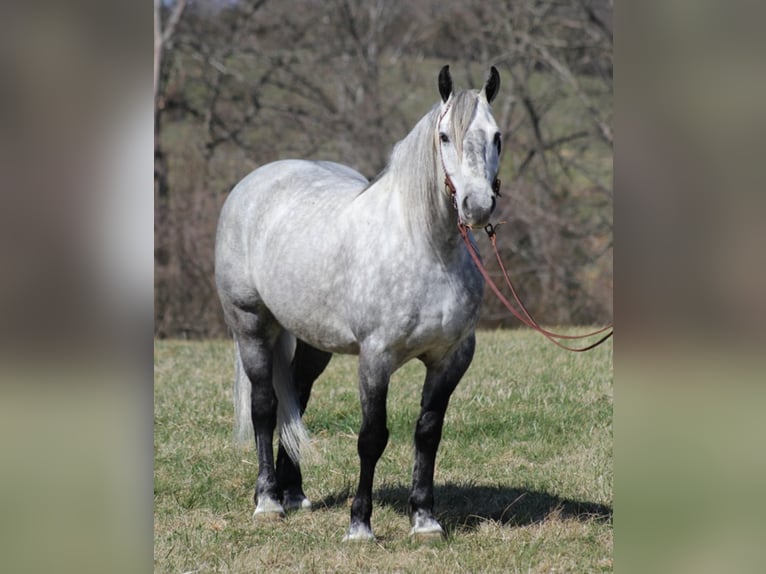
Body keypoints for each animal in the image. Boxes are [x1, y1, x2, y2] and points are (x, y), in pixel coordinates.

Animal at [218, 65, 504, 544]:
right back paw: (269, 501)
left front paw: (424, 520)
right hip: (252, 326)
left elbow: (428, 433)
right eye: (445, 136)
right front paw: (360, 526)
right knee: (264, 406)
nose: (477, 206)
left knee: (297, 398)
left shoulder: (452, 357)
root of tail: (252, 184)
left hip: (313, 340)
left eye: (497, 136)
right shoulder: (376, 357)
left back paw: (294, 494)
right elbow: (372, 437)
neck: (428, 248)